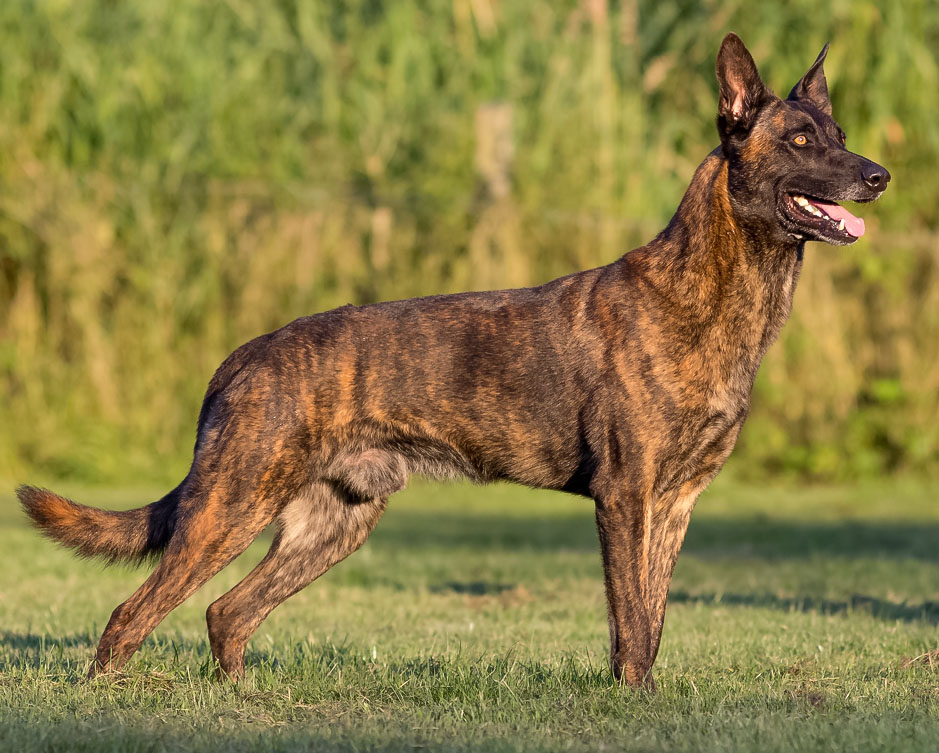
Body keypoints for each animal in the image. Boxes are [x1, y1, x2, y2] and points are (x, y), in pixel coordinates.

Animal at [18, 33, 892, 688]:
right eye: (801, 141)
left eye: (842, 137)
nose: (879, 175)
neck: (711, 298)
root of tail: (237, 361)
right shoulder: (625, 497)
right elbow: (631, 620)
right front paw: (631, 701)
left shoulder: (675, 503)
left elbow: (653, 618)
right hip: (229, 507)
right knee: (131, 615)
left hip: (333, 523)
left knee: (225, 613)